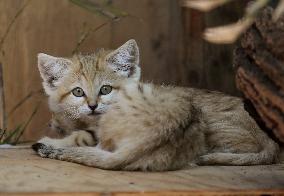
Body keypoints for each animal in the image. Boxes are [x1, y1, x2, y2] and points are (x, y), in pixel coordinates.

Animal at [32, 39, 278, 170]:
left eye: (106, 90)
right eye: (78, 92)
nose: (92, 106)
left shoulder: (100, 128)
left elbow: (81, 137)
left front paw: (52, 140)